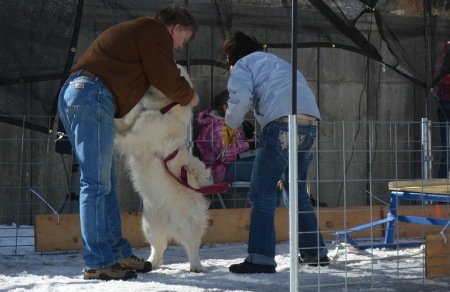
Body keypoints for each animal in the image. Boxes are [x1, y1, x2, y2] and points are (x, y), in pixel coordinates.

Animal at [116, 65, 214, 272]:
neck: (164, 109)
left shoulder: (135, 137)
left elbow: (120, 135)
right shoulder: (132, 127)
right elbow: (123, 123)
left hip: (185, 223)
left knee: (192, 246)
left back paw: (196, 267)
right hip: (150, 226)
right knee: (159, 249)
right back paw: (151, 263)